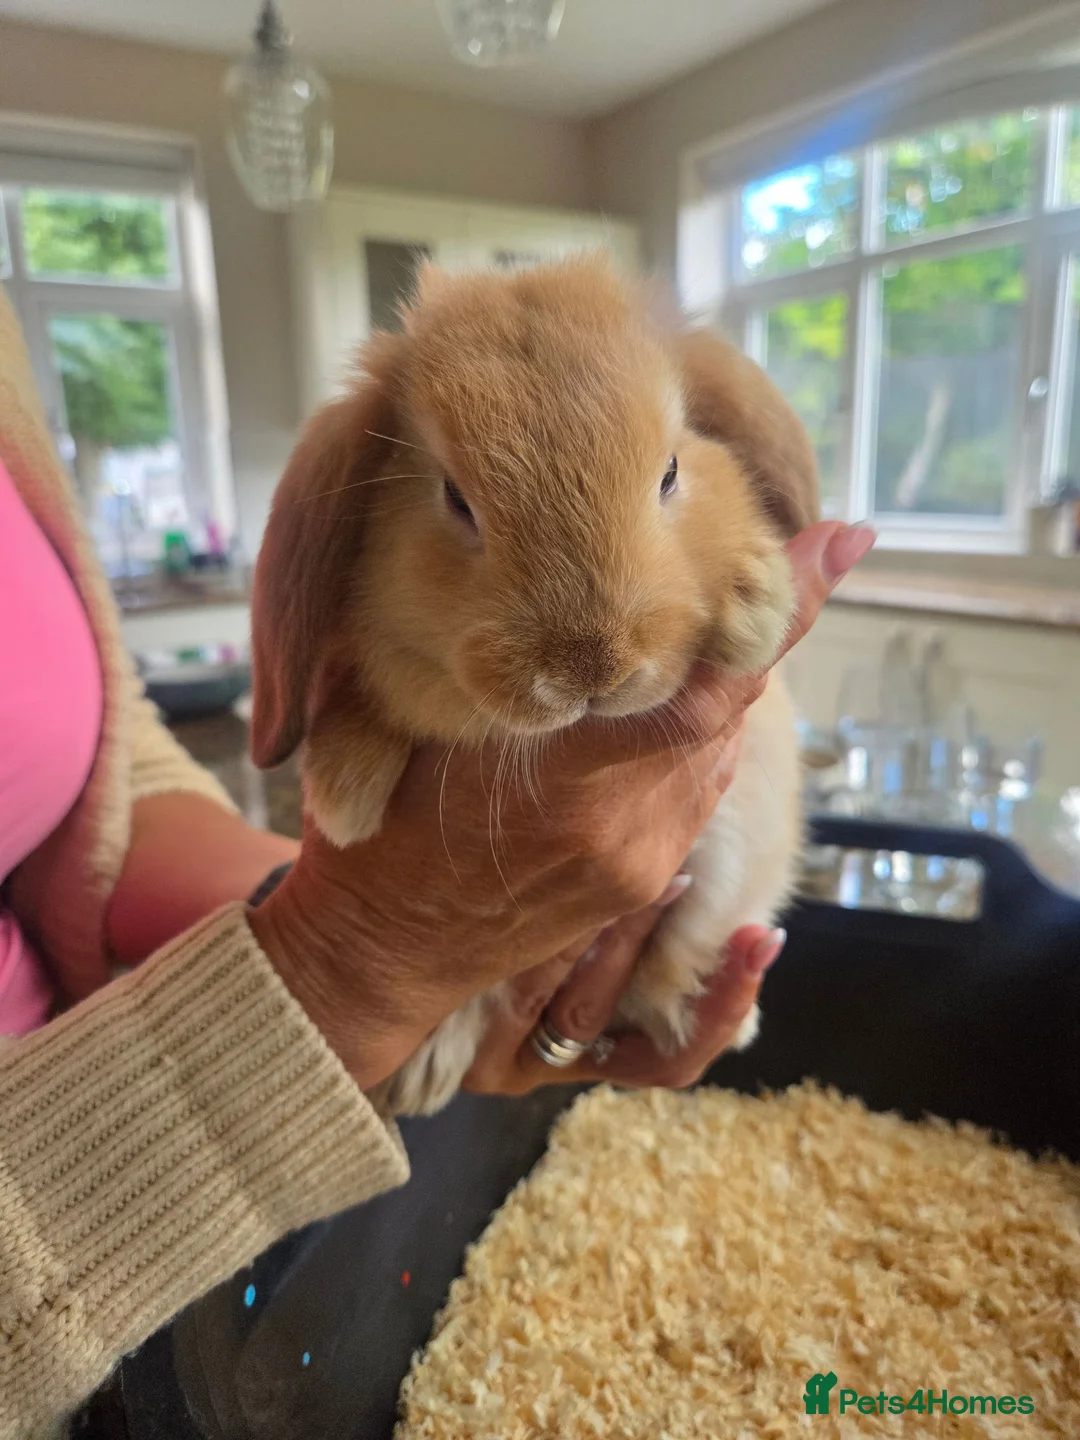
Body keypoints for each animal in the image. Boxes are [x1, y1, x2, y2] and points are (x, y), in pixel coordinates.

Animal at [250, 255, 817, 1117]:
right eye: (454, 497)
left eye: (671, 471)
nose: (591, 666)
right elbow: (366, 703)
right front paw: (345, 800)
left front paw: (754, 602)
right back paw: (424, 1076)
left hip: (733, 867)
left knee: (683, 950)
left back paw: (694, 1018)